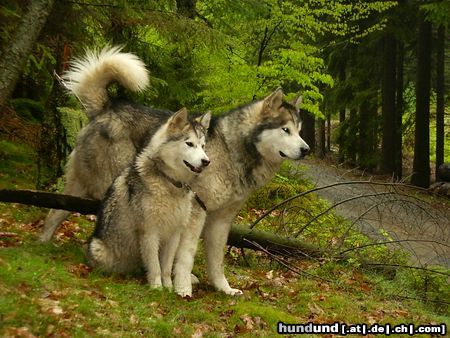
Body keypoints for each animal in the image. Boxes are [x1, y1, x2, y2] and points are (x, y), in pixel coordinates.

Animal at [39, 46, 310, 296]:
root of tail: (106, 107)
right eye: (286, 130)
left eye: (299, 130)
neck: (233, 150)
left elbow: (217, 262)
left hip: (78, 186)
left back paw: (42, 243)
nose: (306, 149)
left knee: (54, 211)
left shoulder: (221, 220)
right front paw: (182, 288)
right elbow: (185, 256)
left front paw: (224, 289)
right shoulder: (196, 213)